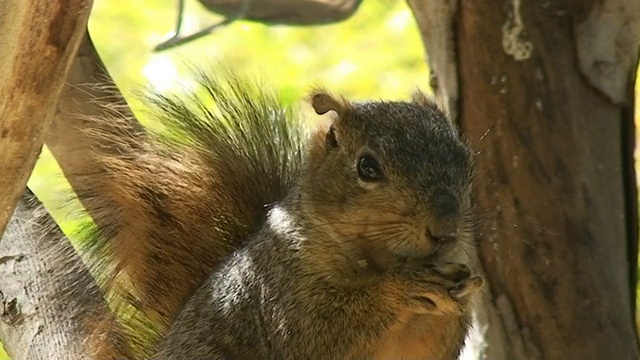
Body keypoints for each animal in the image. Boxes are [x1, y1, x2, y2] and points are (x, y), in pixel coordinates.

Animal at [60, 69, 482, 358]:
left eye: (465, 159)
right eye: (368, 167)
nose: (445, 231)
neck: (377, 258)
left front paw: (465, 290)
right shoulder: (280, 289)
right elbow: (319, 333)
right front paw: (404, 287)